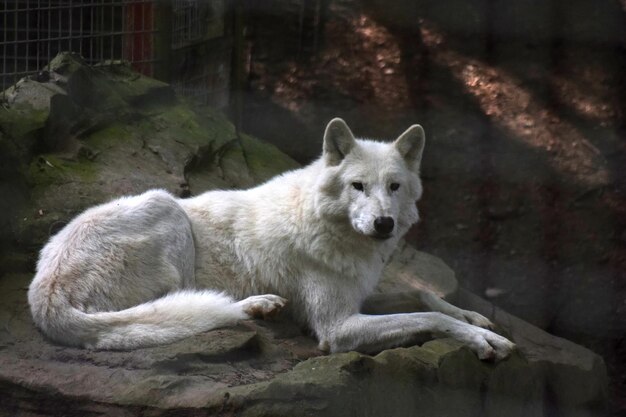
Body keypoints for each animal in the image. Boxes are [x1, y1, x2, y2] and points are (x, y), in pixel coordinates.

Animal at [28, 118, 512, 360]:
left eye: (393, 187)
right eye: (357, 186)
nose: (383, 224)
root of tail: (44, 292)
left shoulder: (358, 295)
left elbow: (424, 298)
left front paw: (474, 316)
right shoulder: (336, 328)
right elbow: (427, 317)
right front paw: (482, 340)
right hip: (166, 207)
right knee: (181, 310)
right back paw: (255, 305)